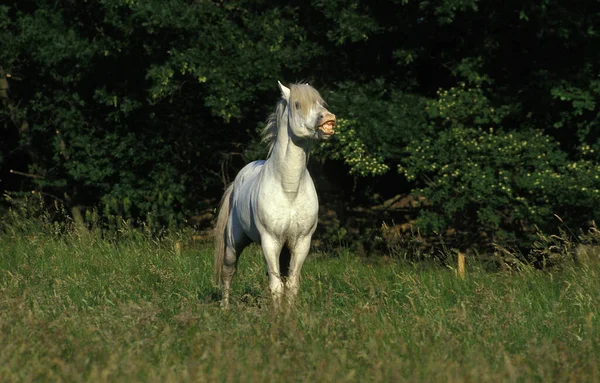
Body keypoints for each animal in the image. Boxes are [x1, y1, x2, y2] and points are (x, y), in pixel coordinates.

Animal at [214, 82, 338, 308]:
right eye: (297, 104)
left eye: (322, 103)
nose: (328, 118)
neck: (289, 189)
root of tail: (237, 181)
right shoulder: (270, 241)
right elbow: (276, 287)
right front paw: (276, 316)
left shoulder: (301, 242)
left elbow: (291, 285)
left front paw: (287, 314)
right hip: (235, 241)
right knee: (228, 271)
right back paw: (224, 308)